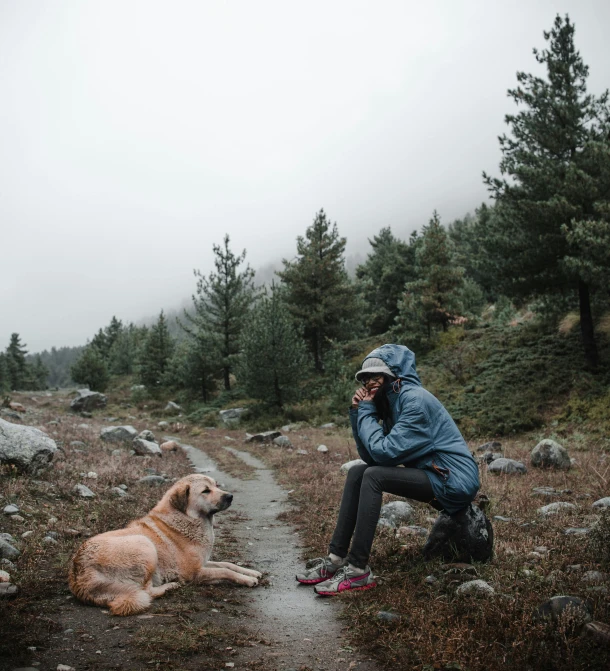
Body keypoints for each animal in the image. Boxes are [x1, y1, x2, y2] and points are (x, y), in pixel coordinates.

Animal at [67, 470, 262, 616]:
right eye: (206, 491)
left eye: (216, 485)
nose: (230, 496)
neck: (186, 518)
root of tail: (79, 575)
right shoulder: (195, 573)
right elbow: (225, 571)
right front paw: (247, 580)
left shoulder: (204, 563)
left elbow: (227, 564)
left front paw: (251, 572)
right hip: (145, 545)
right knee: (147, 591)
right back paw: (170, 587)